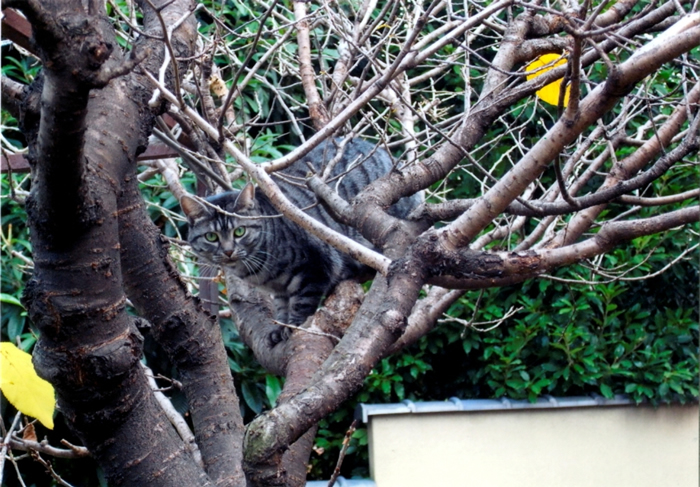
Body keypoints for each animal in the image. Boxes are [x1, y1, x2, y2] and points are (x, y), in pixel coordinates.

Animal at [182, 137, 422, 344]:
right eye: (211, 237)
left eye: (239, 232)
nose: (229, 251)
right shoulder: (280, 290)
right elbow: (282, 307)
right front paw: (280, 327)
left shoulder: (316, 267)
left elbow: (302, 304)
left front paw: (292, 328)